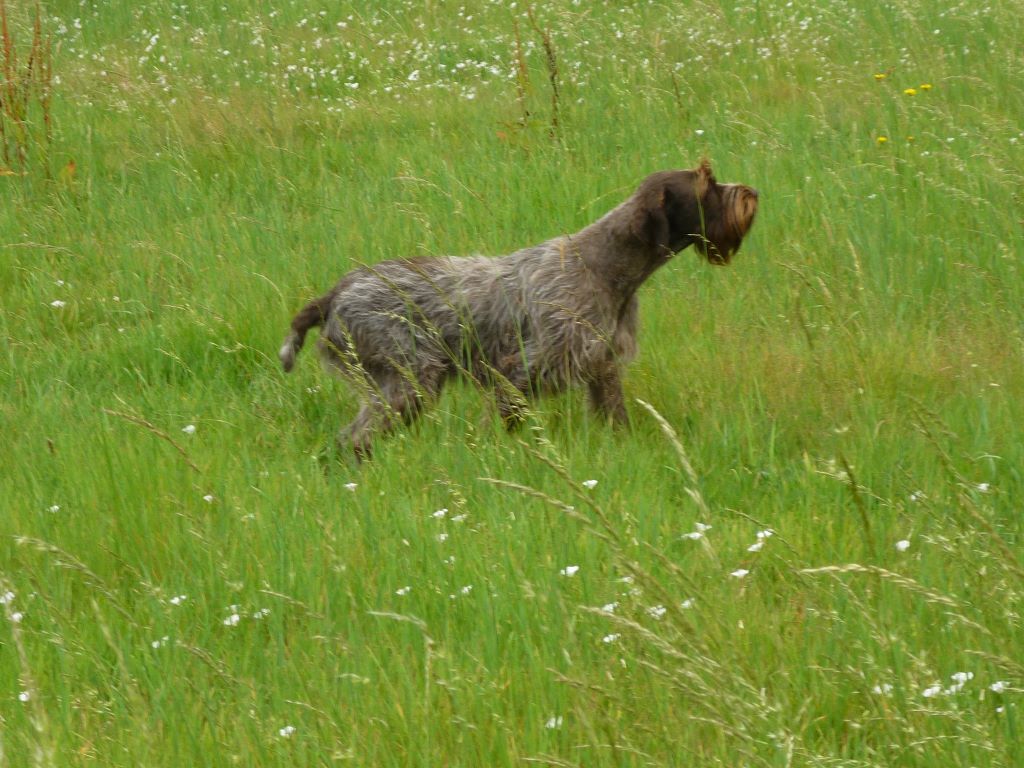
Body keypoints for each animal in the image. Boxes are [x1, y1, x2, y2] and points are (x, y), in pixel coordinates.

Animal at [280, 157, 761, 456]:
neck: (604, 267)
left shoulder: (602, 369)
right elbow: (498, 425)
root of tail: (336, 292)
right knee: (352, 440)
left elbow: (615, 420)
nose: (752, 192)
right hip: (409, 383)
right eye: (707, 184)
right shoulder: (521, 370)